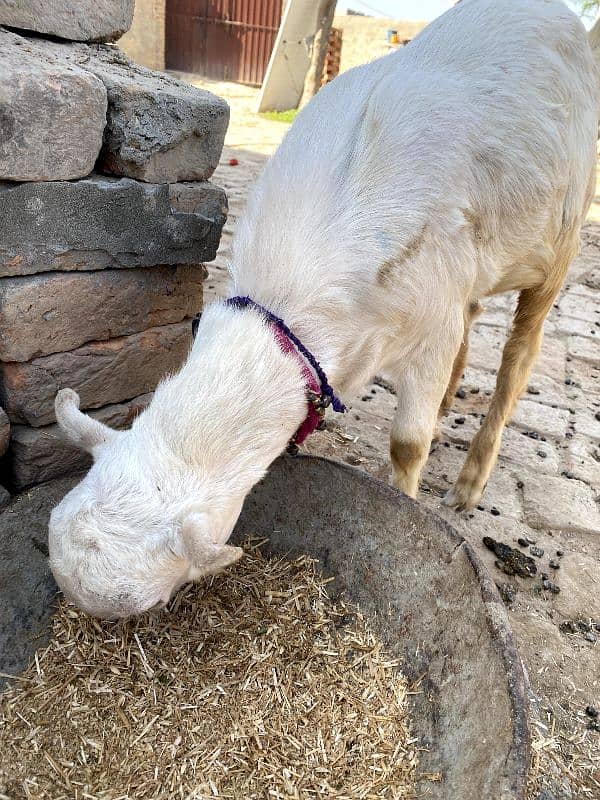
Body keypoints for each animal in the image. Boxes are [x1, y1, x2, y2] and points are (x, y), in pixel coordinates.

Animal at [50, 0, 596, 620]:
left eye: (149, 607)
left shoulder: (432, 317)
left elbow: (409, 442)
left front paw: (406, 505)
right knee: (476, 315)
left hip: (563, 231)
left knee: (522, 350)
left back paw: (469, 481)